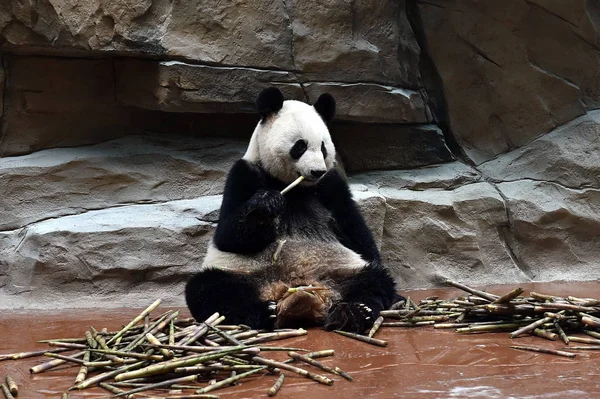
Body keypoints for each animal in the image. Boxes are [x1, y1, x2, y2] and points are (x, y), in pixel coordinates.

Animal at [185, 87, 400, 334]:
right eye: (300, 146)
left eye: (323, 148)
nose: (317, 171)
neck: (296, 188)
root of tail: (295, 289)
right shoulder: (244, 174)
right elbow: (228, 236)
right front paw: (266, 206)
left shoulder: (330, 186)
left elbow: (355, 231)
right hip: (242, 273)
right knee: (209, 289)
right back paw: (266, 312)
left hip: (343, 270)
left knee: (374, 281)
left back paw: (352, 313)